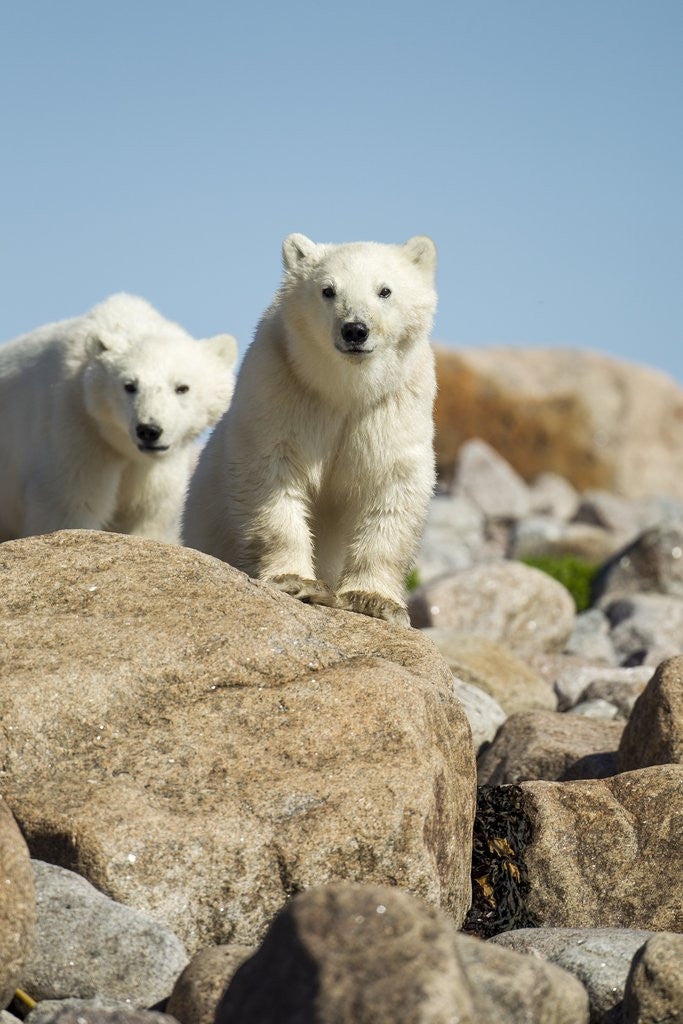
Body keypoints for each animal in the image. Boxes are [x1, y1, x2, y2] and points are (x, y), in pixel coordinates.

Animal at [0, 293, 237, 544]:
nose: (149, 430)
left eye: (182, 387)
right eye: (129, 385)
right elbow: (69, 505)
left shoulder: (158, 472)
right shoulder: (74, 429)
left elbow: (146, 515)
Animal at [183, 233, 437, 625]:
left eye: (385, 290)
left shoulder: (393, 406)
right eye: (328, 290)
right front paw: (295, 580)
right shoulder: (284, 387)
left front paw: (373, 600)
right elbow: (272, 476)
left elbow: (391, 486)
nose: (355, 330)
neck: (344, 390)